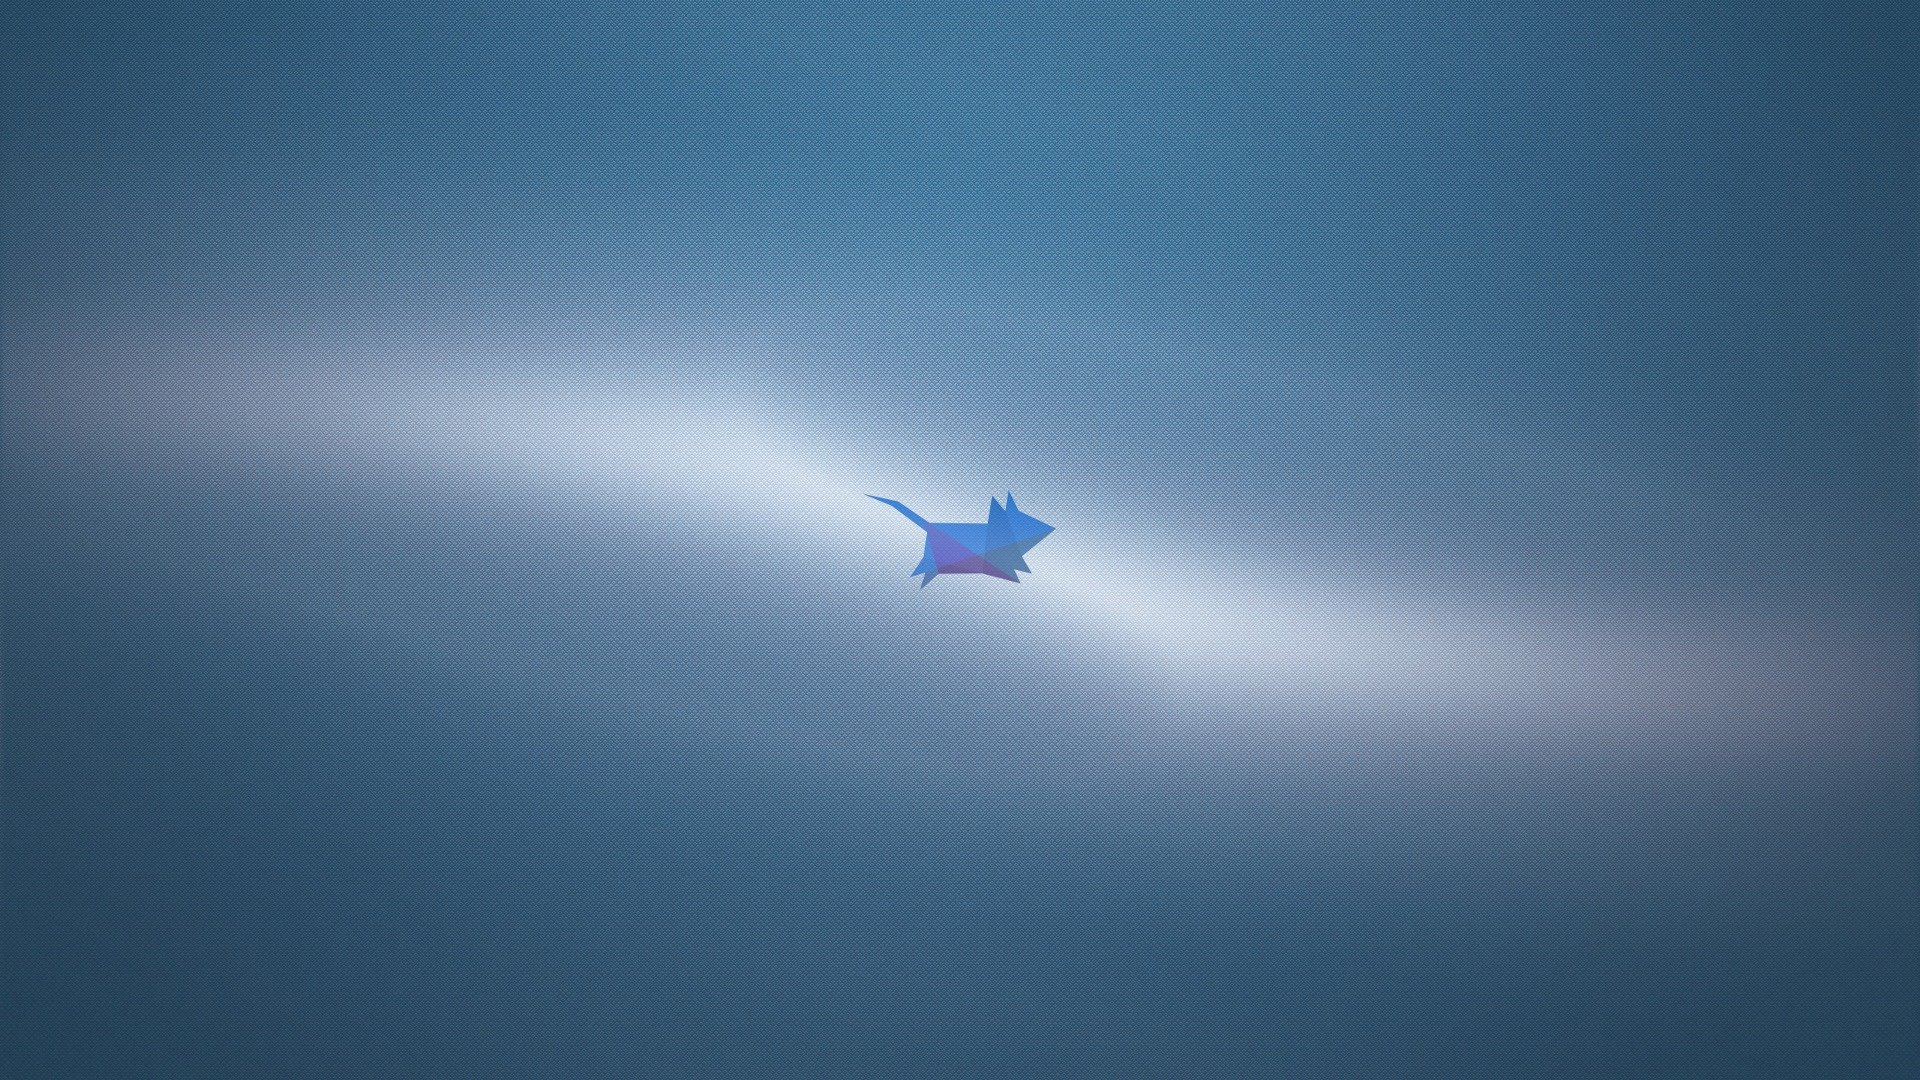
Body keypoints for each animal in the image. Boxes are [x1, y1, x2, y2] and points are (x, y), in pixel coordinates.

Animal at [869, 493, 1055, 587]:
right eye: (1027, 519)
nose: (1050, 527)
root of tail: (931, 525)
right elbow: (1011, 571)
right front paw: (1016, 577)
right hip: (931, 558)